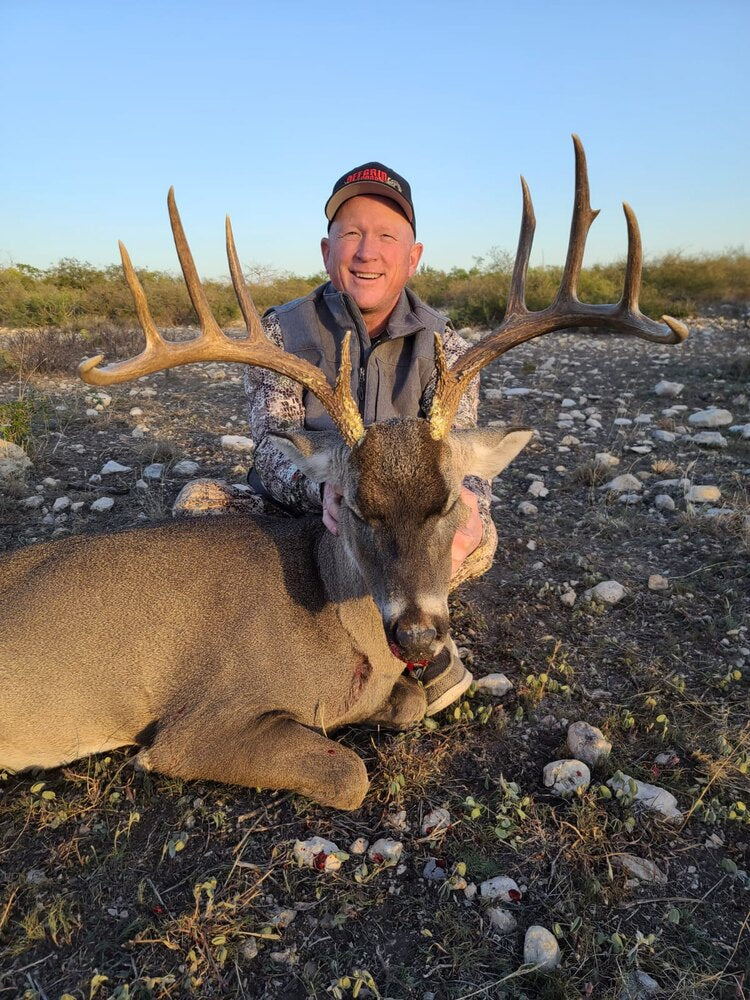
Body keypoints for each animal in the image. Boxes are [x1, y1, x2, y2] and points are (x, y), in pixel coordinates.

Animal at [0, 137, 687, 810]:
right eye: (355, 506)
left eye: (448, 504)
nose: (416, 636)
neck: (339, 627)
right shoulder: (195, 724)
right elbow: (348, 772)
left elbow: (408, 702)